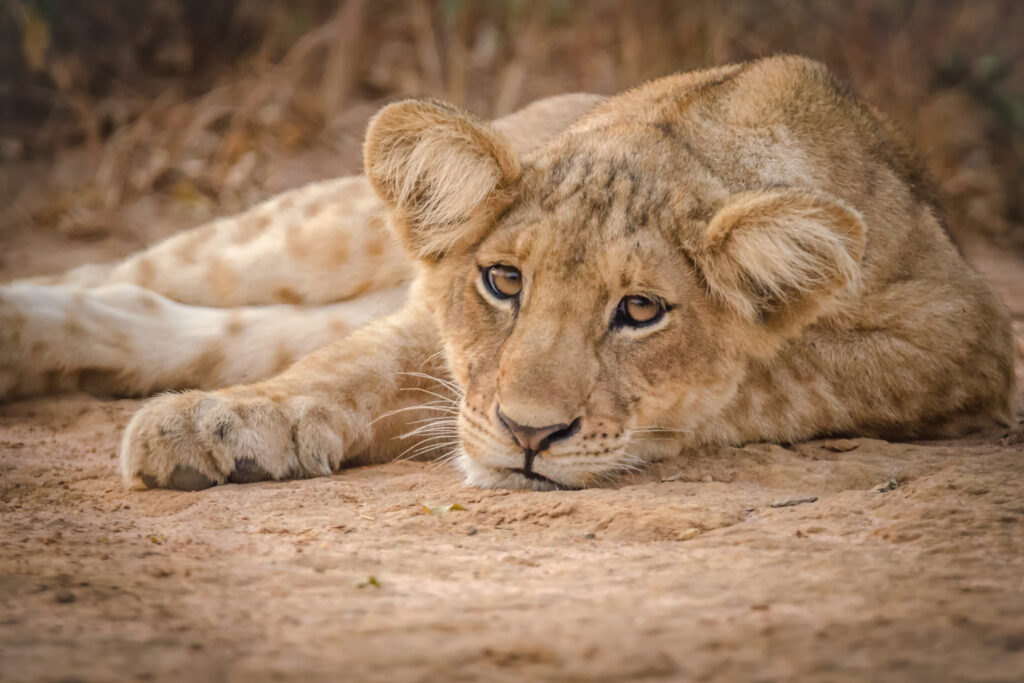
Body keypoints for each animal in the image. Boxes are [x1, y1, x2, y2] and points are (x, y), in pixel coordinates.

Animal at [2, 56, 1015, 491]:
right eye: (503, 282)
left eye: (640, 309)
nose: (530, 436)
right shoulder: (429, 315)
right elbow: (360, 363)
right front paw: (230, 425)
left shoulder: (963, 336)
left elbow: (776, 372)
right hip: (318, 228)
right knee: (139, 268)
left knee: (177, 317)